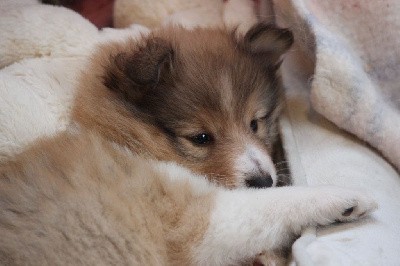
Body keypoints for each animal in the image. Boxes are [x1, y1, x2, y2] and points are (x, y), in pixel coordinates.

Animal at [0, 23, 376, 266]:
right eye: (200, 138)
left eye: (255, 123)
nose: (263, 180)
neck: (127, 141)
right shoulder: (194, 219)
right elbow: (274, 204)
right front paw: (347, 198)